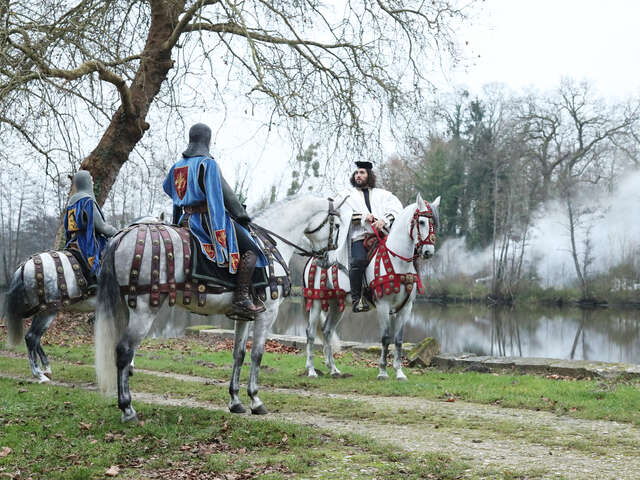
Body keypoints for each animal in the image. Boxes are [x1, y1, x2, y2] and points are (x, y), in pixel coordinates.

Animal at [94, 195, 344, 420]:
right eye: (339, 225)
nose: (329, 262)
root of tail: (122, 236)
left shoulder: (244, 316)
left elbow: (239, 354)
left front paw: (235, 401)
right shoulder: (268, 314)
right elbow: (257, 355)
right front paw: (256, 400)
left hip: (125, 309)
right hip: (144, 311)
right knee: (124, 351)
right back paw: (127, 409)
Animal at [302, 194, 438, 378]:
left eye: (434, 223)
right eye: (422, 222)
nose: (428, 252)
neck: (397, 260)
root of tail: (315, 257)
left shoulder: (405, 308)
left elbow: (398, 340)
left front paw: (399, 373)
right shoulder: (383, 305)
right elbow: (386, 337)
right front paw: (382, 372)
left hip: (336, 305)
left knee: (327, 331)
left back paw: (333, 369)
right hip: (316, 302)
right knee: (310, 333)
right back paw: (311, 370)